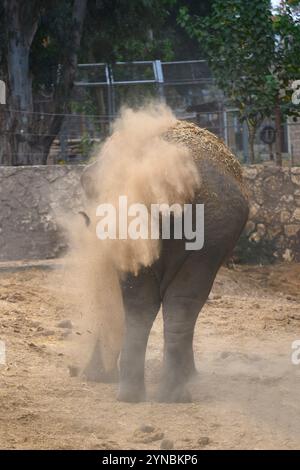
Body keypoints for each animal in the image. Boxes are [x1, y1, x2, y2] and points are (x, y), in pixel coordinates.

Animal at [79, 119, 248, 402]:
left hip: (207, 229)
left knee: (154, 301)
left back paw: (146, 394)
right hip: (208, 230)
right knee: (179, 301)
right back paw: (164, 394)